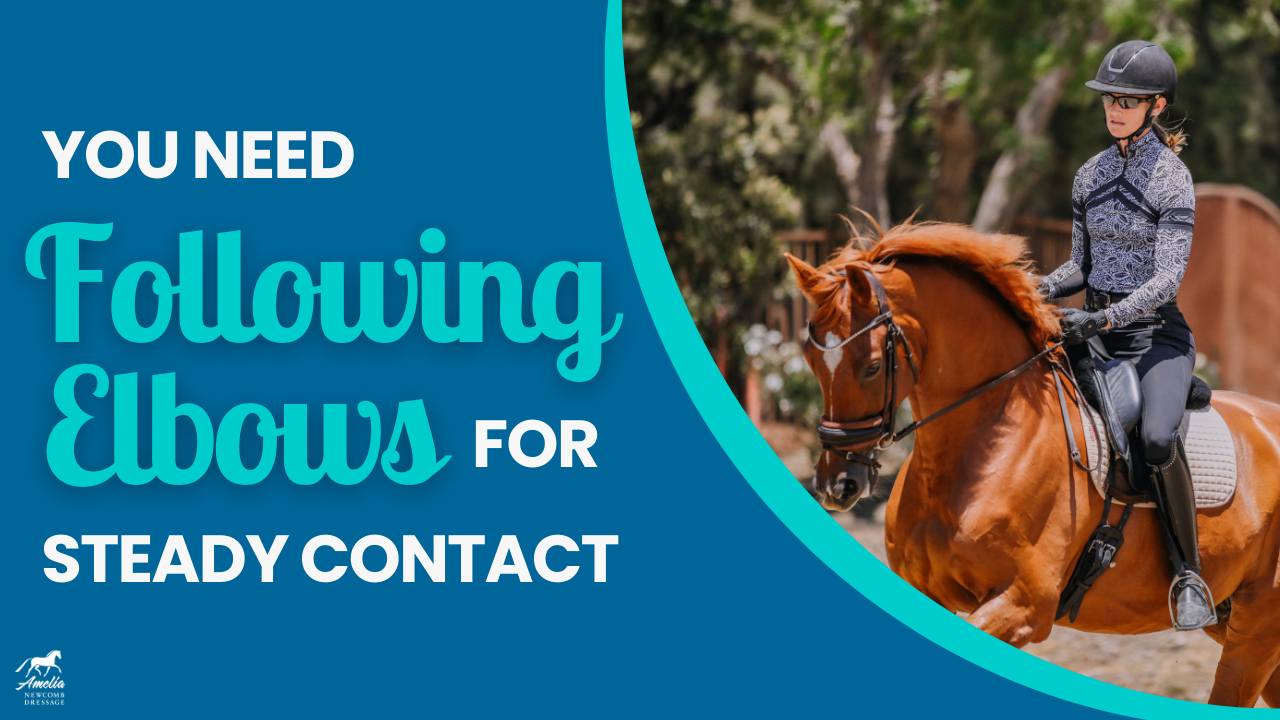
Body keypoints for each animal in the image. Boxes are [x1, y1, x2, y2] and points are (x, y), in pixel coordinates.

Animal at [786, 222, 1280, 708]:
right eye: (811, 359)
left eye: (871, 367)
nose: (837, 484)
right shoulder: (927, 590)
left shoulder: (1023, 605)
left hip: (1256, 630)